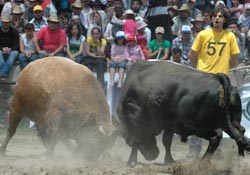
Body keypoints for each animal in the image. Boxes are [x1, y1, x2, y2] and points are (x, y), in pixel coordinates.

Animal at [117, 60, 250, 167]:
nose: (152, 155)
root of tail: (217, 77)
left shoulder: (136, 117)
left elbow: (137, 140)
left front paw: (131, 162)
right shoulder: (169, 124)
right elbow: (166, 141)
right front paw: (169, 161)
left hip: (197, 126)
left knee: (216, 137)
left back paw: (202, 163)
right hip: (229, 122)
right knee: (239, 135)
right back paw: (239, 162)